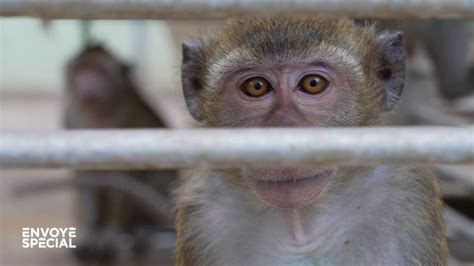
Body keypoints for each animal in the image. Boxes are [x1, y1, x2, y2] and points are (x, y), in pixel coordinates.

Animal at [64, 45, 176, 264]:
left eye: (100, 71)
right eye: (82, 70)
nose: (87, 83)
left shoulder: (125, 118)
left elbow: (124, 176)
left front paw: (111, 231)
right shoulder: (71, 117)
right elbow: (86, 177)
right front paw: (91, 230)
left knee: (156, 176)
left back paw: (144, 226)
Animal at [175, 17, 448, 264]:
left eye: (313, 83)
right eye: (256, 86)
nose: (285, 135)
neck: (300, 225)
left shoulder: (406, 194)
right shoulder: (202, 215)